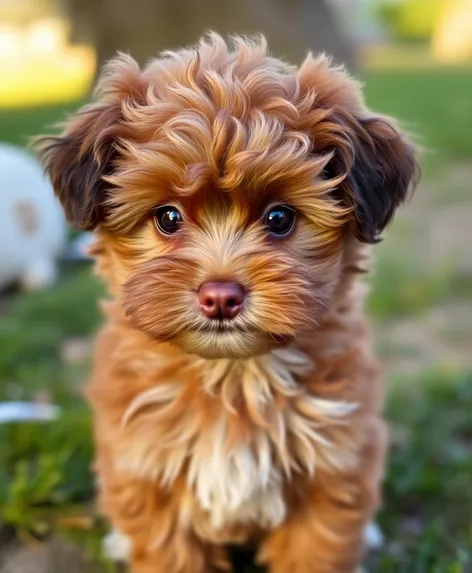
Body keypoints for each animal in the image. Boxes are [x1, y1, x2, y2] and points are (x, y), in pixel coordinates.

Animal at [38, 33, 418, 568]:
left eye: (280, 218)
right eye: (168, 218)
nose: (221, 296)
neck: (232, 377)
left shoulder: (332, 470)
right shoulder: (147, 473)